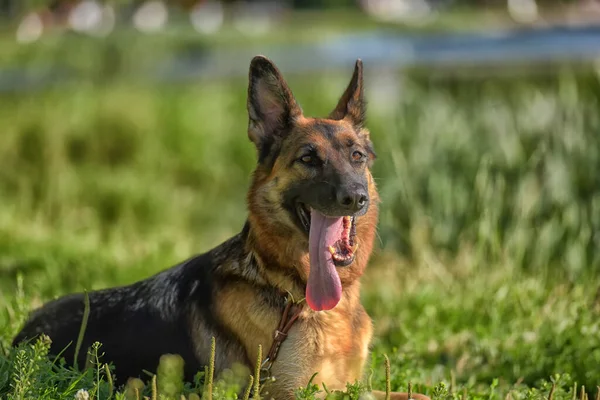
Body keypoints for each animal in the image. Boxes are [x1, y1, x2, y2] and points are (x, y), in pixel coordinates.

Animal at [12, 56, 432, 400]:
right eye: (308, 159)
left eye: (357, 156)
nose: (355, 197)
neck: (288, 290)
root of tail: (22, 335)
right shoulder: (294, 393)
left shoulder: (352, 385)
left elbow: (420, 394)